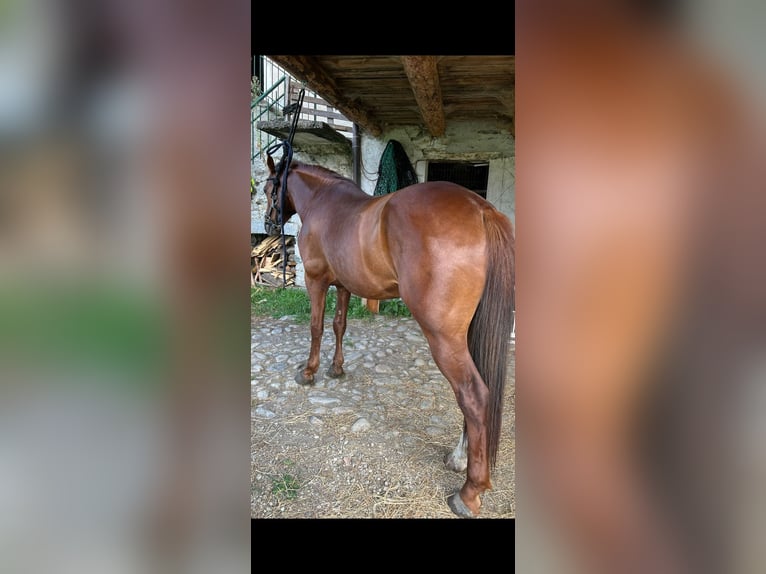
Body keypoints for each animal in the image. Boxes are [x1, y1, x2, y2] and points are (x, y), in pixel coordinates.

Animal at [264, 155, 516, 520]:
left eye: (268, 188)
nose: (269, 225)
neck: (323, 202)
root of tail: (480, 207)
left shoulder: (316, 279)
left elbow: (316, 326)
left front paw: (308, 371)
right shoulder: (344, 285)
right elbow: (339, 325)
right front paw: (336, 368)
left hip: (444, 339)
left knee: (474, 395)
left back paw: (469, 492)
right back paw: (459, 457)